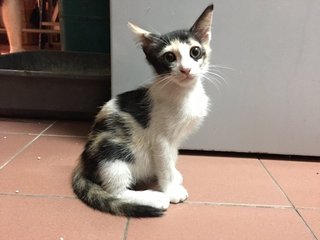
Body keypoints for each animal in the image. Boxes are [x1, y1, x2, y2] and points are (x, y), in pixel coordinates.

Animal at [71, 4, 214, 218]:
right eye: (169, 57)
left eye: (195, 51)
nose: (186, 69)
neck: (184, 93)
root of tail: (84, 159)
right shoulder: (160, 138)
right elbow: (164, 163)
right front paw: (170, 190)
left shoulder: (175, 140)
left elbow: (171, 157)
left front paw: (174, 175)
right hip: (114, 151)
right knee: (116, 191)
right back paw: (154, 198)